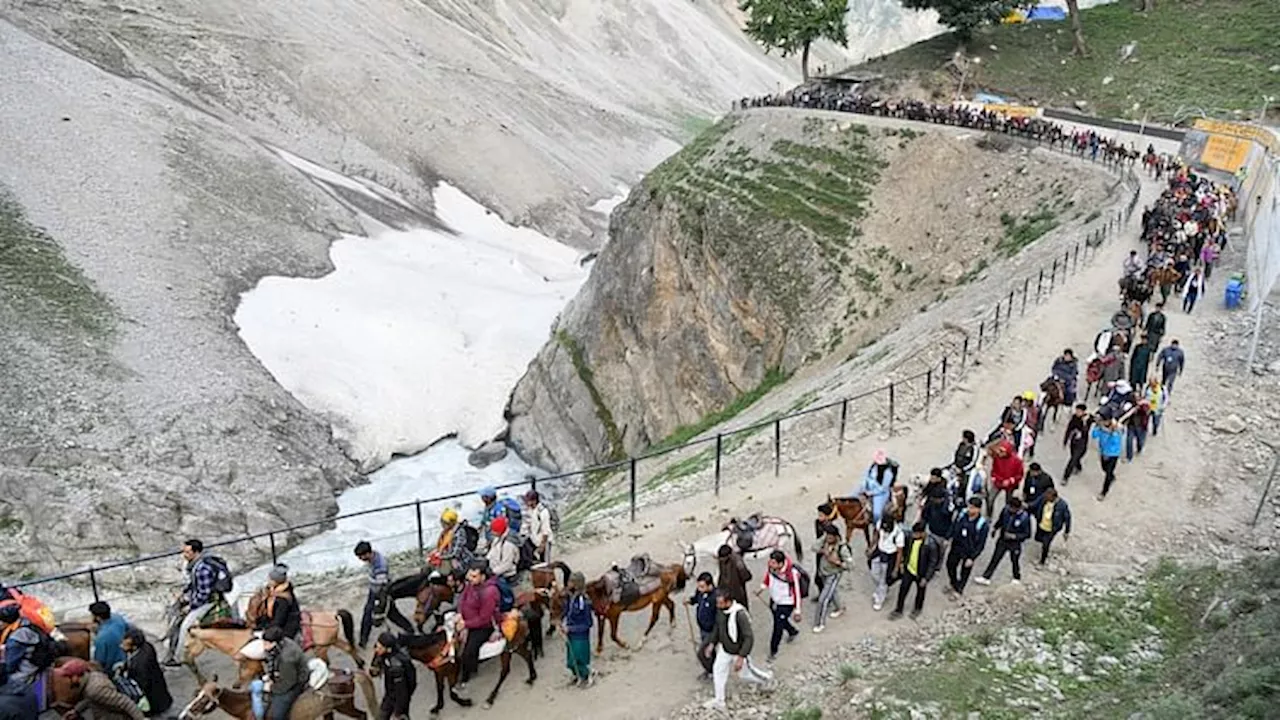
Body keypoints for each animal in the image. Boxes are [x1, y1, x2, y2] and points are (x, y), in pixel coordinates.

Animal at [386, 604, 532, 712]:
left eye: (390, 651)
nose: (387, 671)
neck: (436, 648)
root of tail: (519, 616)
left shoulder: (452, 671)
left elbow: (452, 693)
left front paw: (465, 702)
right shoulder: (439, 672)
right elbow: (440, 689)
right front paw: (437, 707)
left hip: (508, 650)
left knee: (505, 671)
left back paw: (490, 699)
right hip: (512, 648)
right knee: (526, 657)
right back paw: (531, 678)